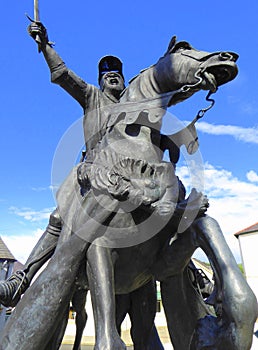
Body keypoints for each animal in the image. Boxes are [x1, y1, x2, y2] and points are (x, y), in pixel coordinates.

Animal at [0, 36, 256, 350]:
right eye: (183, 47)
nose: (228, 57)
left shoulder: (161, 269)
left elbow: (206, 226)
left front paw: (222, 328)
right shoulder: (99, 249)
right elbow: (107, 338)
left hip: (135, 293)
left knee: (138, 330)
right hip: (77, 289)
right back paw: (15, 287)